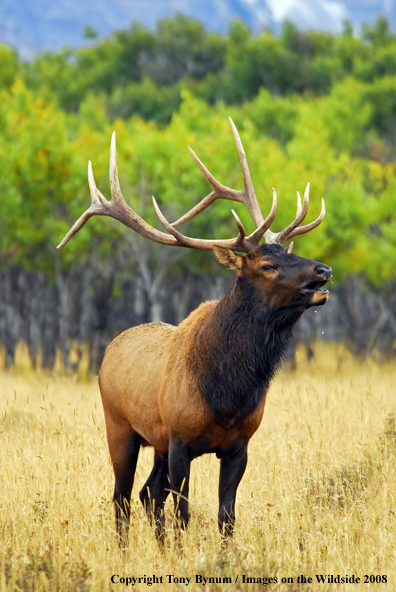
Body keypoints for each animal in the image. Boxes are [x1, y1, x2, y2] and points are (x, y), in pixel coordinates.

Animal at [58, 119, 332, 544]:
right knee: (122, 498)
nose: (323, 271)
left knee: (147, 494)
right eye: (267, 265)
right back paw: (123, 551)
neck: (227, 393)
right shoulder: (180, 440)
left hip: (155, 442)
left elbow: (226, 516)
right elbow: (183, 513)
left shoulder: (239, 444)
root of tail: (108, 352)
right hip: (119, 426)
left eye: (290, 252)